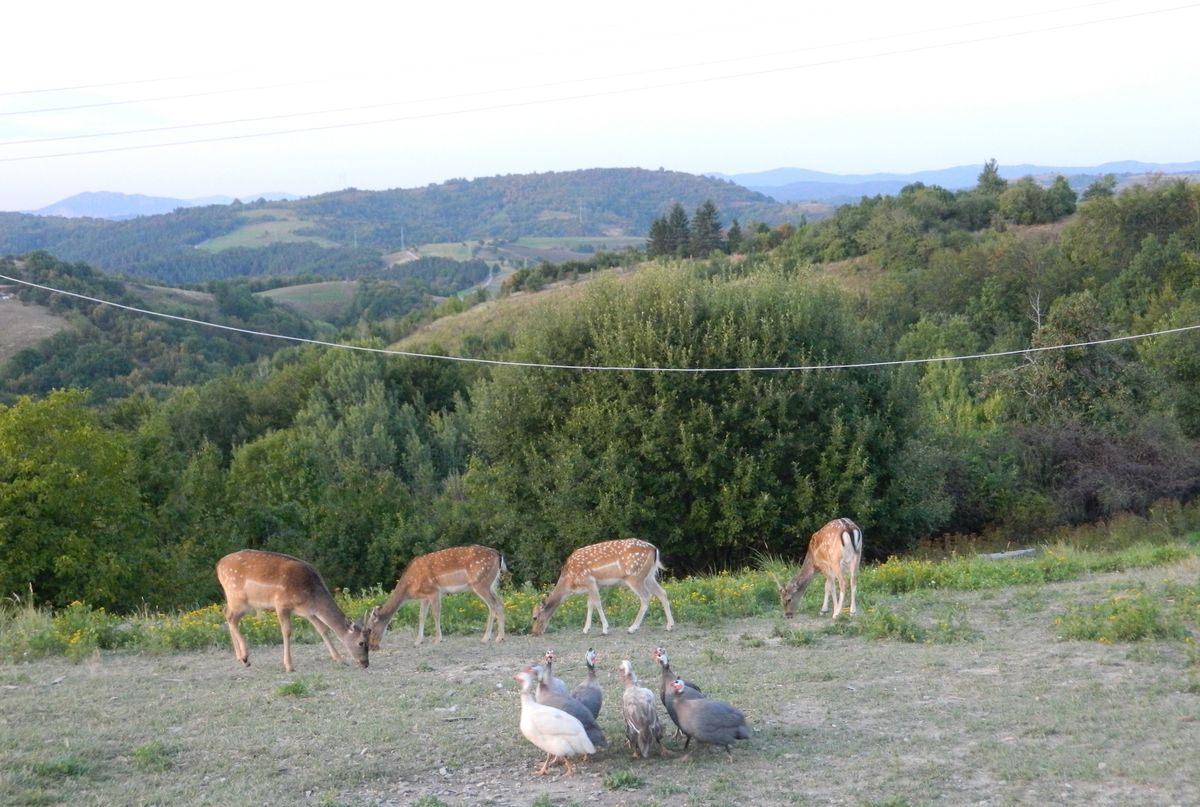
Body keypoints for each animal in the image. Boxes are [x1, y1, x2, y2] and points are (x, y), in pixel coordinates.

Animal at [213, 547, 367, 672]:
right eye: (361, 642)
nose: (365, 663)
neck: (311, 595)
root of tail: (219, 565)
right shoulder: (281, 604)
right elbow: (287, 632)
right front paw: (289, 666)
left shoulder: (309, 612)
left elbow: (323, 630)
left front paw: (340, 659)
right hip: (238, 598)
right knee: (231, 617)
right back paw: (245, 657)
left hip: (240, 602)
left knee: (227, 614)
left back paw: (240, 658)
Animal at [360, 542, 501, 648]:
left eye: (370, 629)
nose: (372, 647)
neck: (409, 587)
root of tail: (498, 555)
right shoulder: (424, 597)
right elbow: (421, 616)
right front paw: (418, 641)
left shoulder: (434, 591)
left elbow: (436, 615)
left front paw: (438, 640)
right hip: (492, 584)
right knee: (499, 602)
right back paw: (498, 637)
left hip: (480, 583)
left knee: (493, 605)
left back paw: (489, 638)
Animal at [530, 535, 672, 638]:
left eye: (534, 617)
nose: (534, 633)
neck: (569, 582)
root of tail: (654, 549)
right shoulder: (592, 585)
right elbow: (590, 604)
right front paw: (586, 629)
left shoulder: (589, 580)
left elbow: (597, 603)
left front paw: (604, 629)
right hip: (649, 576)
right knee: (662, 593)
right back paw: (669, 626)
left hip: (634, 576)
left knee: (646, 596)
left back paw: (632, 628)